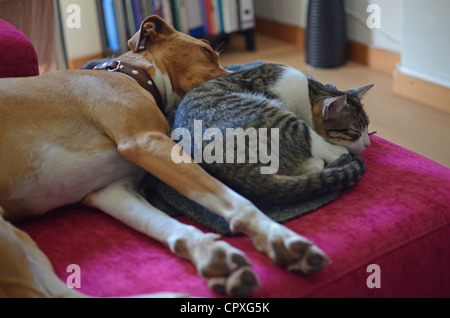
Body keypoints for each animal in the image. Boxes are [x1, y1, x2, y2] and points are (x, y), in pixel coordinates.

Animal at [0, 16, 330, 296]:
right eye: (207, 51)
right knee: (33, 292)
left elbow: (165, 225)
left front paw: (216, 252)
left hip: (23, 241)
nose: (243, 80)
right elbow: (237, 202)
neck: (131, 74)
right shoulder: (148, 142)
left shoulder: (110, 190)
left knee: (58, 292)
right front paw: (281, 238)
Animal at [171, 63, 370, 202]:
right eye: (355, 130)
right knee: (318, 149)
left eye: (367, 127)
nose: (367, 144)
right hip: (276, 118)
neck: (310, 92)